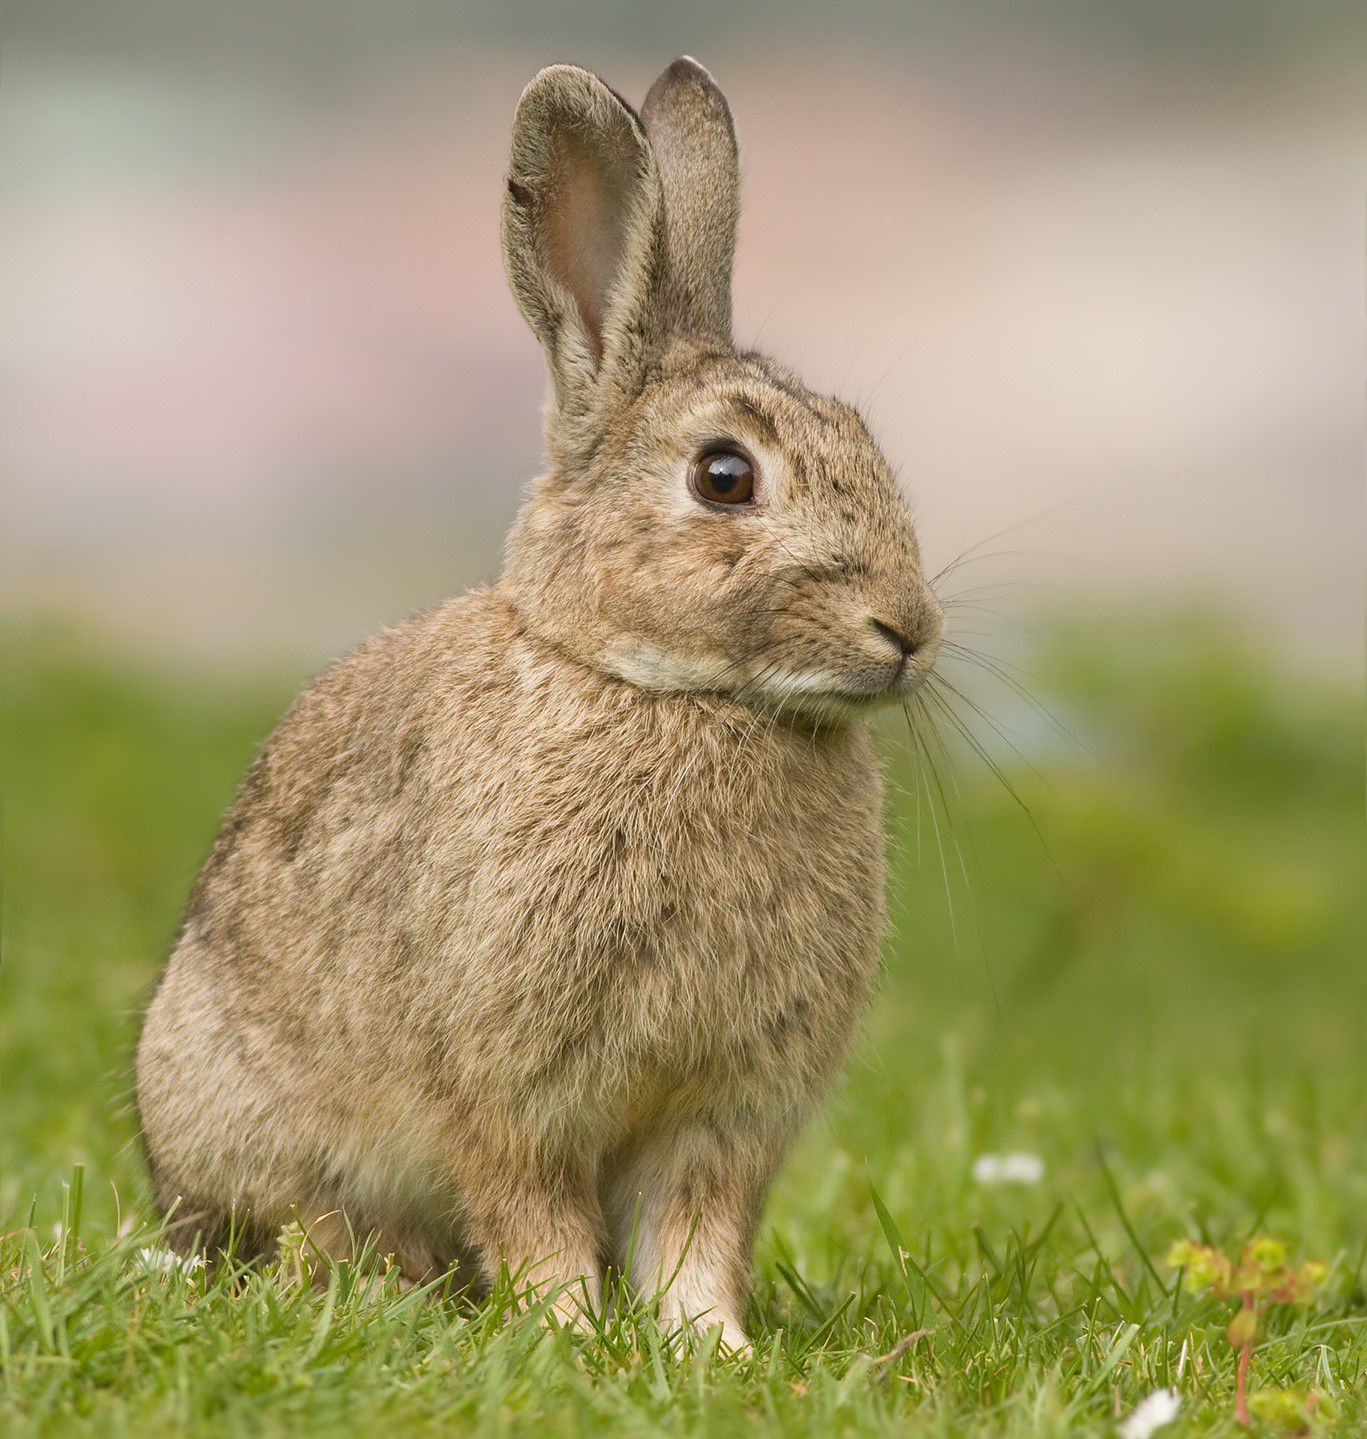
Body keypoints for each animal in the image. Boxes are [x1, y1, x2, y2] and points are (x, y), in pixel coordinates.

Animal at [141, 58, 949, 1358]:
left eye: (866, 441)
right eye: (725, 476)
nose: (907, 629)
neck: (665, 689)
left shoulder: (722, 1112)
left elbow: (695, 1233)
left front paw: (710, 1349)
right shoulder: (508, 1088)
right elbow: (532, 1214)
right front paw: (567, 1331)